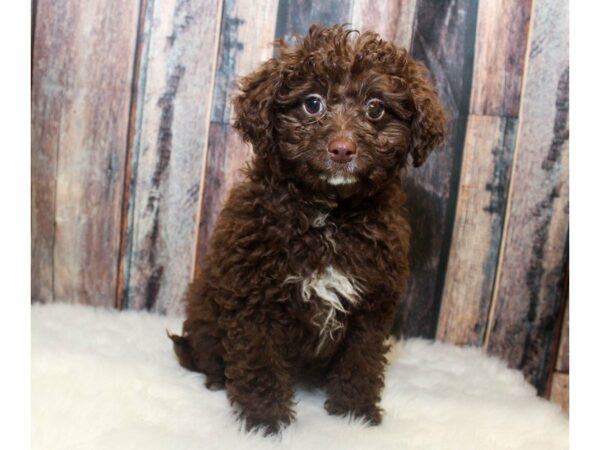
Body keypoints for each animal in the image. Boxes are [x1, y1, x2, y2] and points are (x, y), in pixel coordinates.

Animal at [169, 23, 446, 432]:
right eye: (312, 103)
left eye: (375, 109)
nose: (342, 149)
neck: (329, 215)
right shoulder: (253, 298)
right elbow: (260, 361)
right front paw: (264, 421)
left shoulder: (372, 302)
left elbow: (361, 360)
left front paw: (355, 413)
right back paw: (216, 377)